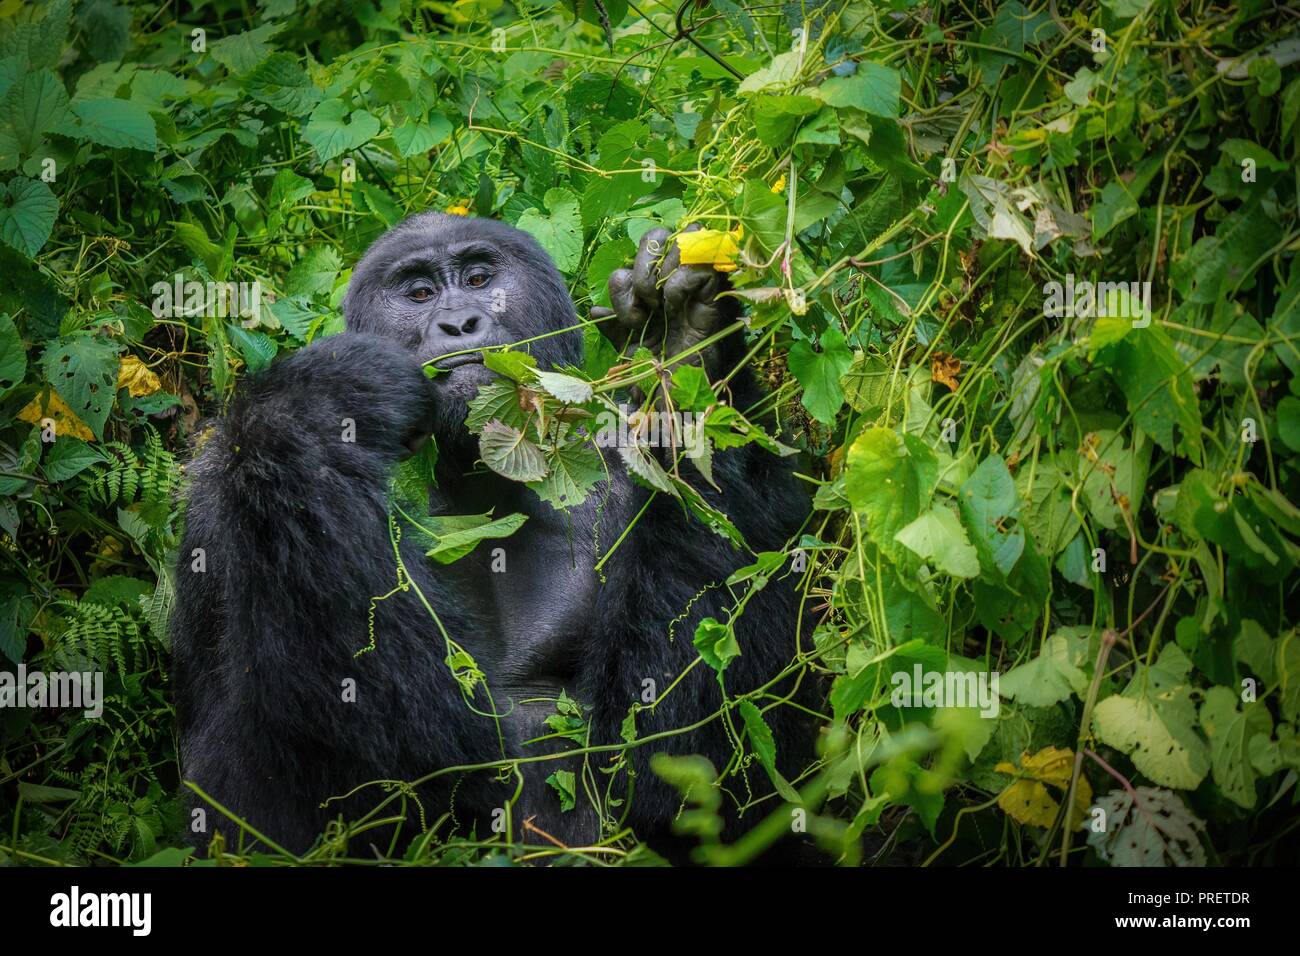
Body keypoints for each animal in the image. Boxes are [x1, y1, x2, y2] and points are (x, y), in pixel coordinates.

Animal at [172, 213, 811, 863]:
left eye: (480, 279)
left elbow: (673, 749)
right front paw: (326, 399)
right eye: (419, 293)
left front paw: (682, 350)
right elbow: (392, 743)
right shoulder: (211, 514)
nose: (458, 322)